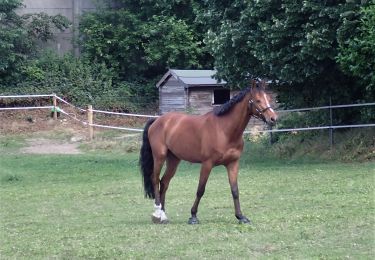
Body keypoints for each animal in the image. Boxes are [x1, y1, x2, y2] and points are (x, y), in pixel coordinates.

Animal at [140, 80, 278, 223]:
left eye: (269, 99)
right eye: (258, 100)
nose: (273, 118)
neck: (224, 130)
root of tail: (157, 120)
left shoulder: (233, 163)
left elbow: (235, 190)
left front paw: (240, 216)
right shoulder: (207, 164)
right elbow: (200, 189)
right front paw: (193, 216)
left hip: (173, 159)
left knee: (164, 182)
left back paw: (163, 215)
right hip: (159, 157)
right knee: (155, 179)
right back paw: (157, 214)